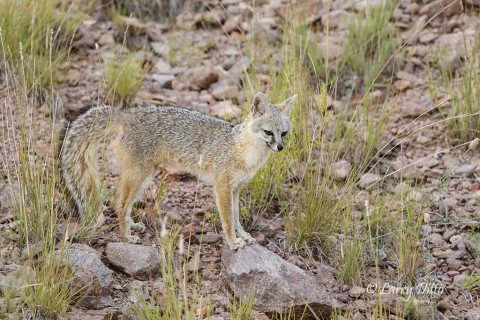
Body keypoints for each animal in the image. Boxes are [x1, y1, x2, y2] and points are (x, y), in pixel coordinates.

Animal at [60, 92, 296, 250]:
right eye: (268, 133)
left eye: (284, 133)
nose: (280, 147)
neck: (243, 150)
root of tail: (126, 114)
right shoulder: (222, 187)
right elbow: (228, 220)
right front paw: (232, 242)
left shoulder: (236, 189)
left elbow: (237, 218)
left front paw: (244, 236)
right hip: (139, 176)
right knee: (119, 202)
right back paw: (126, 237)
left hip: (145, 177)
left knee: (120, 202)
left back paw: (132, 226)